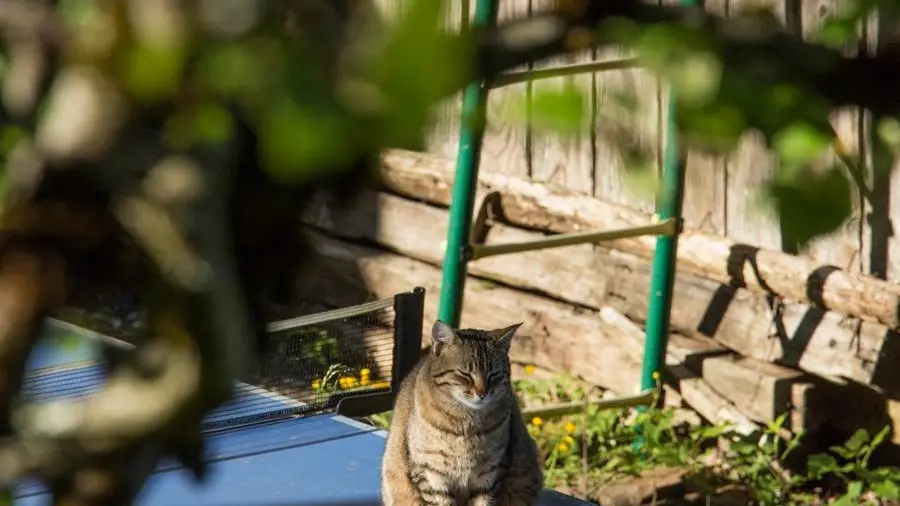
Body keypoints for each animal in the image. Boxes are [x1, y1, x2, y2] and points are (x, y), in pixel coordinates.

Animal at [380, 320, 540, 506]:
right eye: (465, 374)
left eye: (494, 375)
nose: (482, 393)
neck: (466, 422)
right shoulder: (431, 473)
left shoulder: (491, 472)